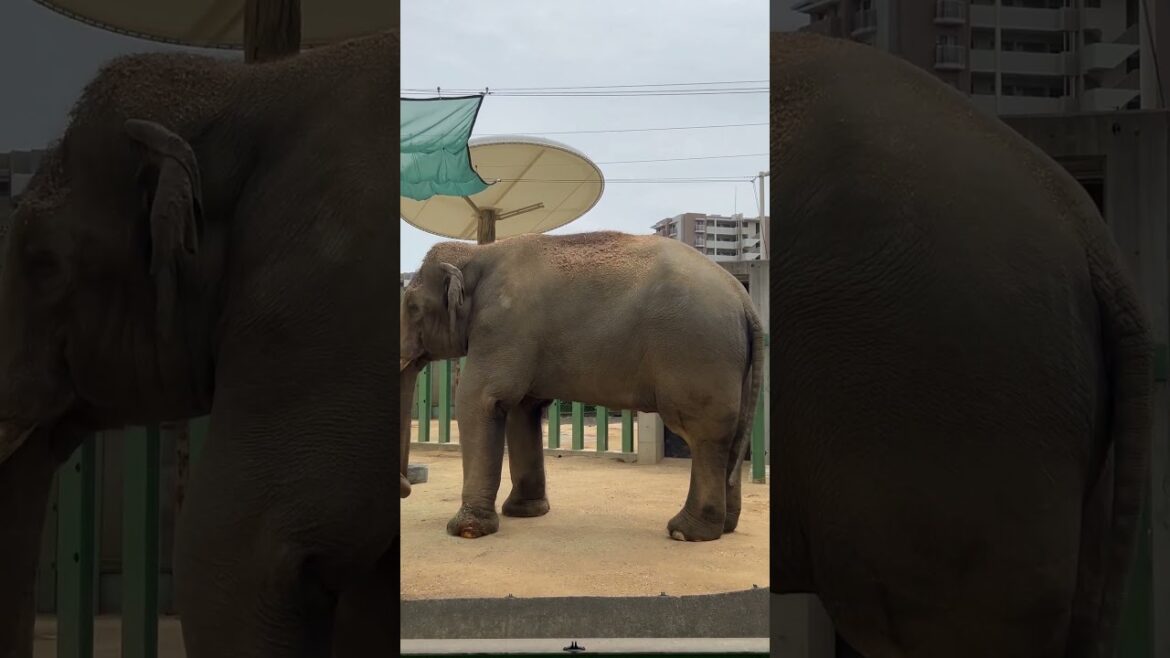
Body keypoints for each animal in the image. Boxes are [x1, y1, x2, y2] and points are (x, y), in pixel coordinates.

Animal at [399, 231, 765, 542]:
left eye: (412, 307)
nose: (406, 488)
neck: (477, 253)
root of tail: (744, 299)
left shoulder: (501, 328)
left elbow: (480, 400)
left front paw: (465, 530)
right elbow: (523, 409)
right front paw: (525, 513)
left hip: (697, 352)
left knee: (703, 434)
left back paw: (685, 532)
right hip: (732, 363)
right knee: (733, 436)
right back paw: (725, 527)